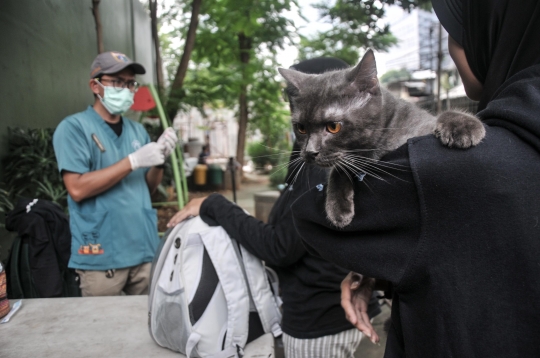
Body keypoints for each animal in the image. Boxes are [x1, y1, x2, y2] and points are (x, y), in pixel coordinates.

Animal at [278, 49, 486, 228]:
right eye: (301, 128)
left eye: (333, 126)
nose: (310, 152)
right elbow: (338, 169)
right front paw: (337, 208)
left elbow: (437, 118)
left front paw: (463, 125)